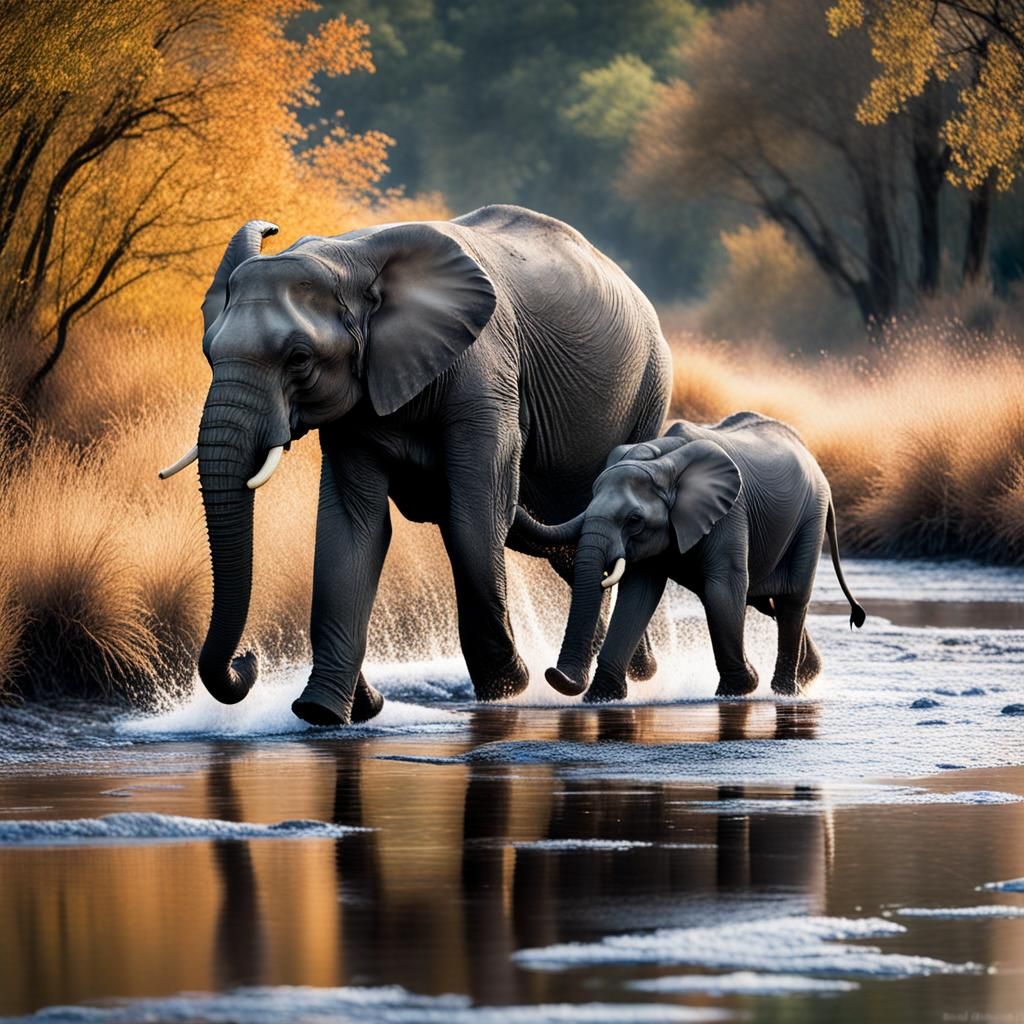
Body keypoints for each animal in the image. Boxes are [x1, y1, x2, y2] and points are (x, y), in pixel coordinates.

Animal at [159, 205, 672, 726]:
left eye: (299, 359)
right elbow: (353, 529)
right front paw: (325, 711)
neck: (349, 259)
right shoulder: (355, 411)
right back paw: (633, 673)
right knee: (573, 549)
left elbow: (473, 520)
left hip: (648, 391)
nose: (249, 661)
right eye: (208, 353)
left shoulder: (485, 377)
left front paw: (509, 686)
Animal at [513, 412, 865, 703]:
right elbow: (638, 596)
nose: (553, 675)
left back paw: (785, 693)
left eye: (634, 520)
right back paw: (807, 678)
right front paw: (602, 698)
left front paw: (740, 688)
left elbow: (722, 591)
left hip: (810, 520)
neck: (661, 459)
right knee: (769, 604)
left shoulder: (731, 514)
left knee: (791, 600)